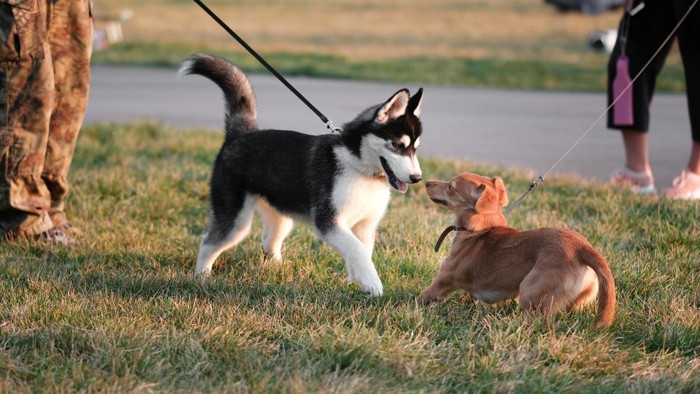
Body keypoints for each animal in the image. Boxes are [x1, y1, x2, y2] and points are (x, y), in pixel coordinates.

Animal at [178, 54, 424, 296]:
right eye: (397, 145)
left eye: (416, 148)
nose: (417, 178)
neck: (358, 167)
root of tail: (241, 133)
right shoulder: (329, 222)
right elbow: (357, 251)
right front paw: (373, 284)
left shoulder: (365, 226)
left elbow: (362, 252)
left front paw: (356, 283)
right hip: (236, 219)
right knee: (209, 242)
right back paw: (202, 277)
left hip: (280, 216)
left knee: (269, 241)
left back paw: (277, 269)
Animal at [418, 173, 616, 330]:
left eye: (451, 186)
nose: (426, 182)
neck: (479, 230)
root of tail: (583, 247)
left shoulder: (442, 282)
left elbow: (422, 296)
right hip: (577, 299)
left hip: (530, 290)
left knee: (540, 322)